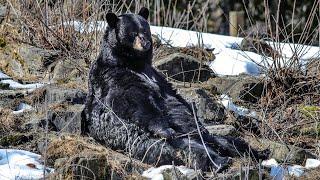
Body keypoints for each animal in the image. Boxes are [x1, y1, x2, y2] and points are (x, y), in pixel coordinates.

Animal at [83, 7, 268, 170]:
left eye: (146, 30)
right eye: (133, 33)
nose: (146, 42)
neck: (133, 63)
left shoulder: (158, 77)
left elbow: (176, 99)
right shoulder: (113, 76)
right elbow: (133, 101)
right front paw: (166, 129)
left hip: (203, 136)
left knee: (225, 141)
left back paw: (258, 153)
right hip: (149, 141)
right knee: (189, 149)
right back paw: (219, 162)